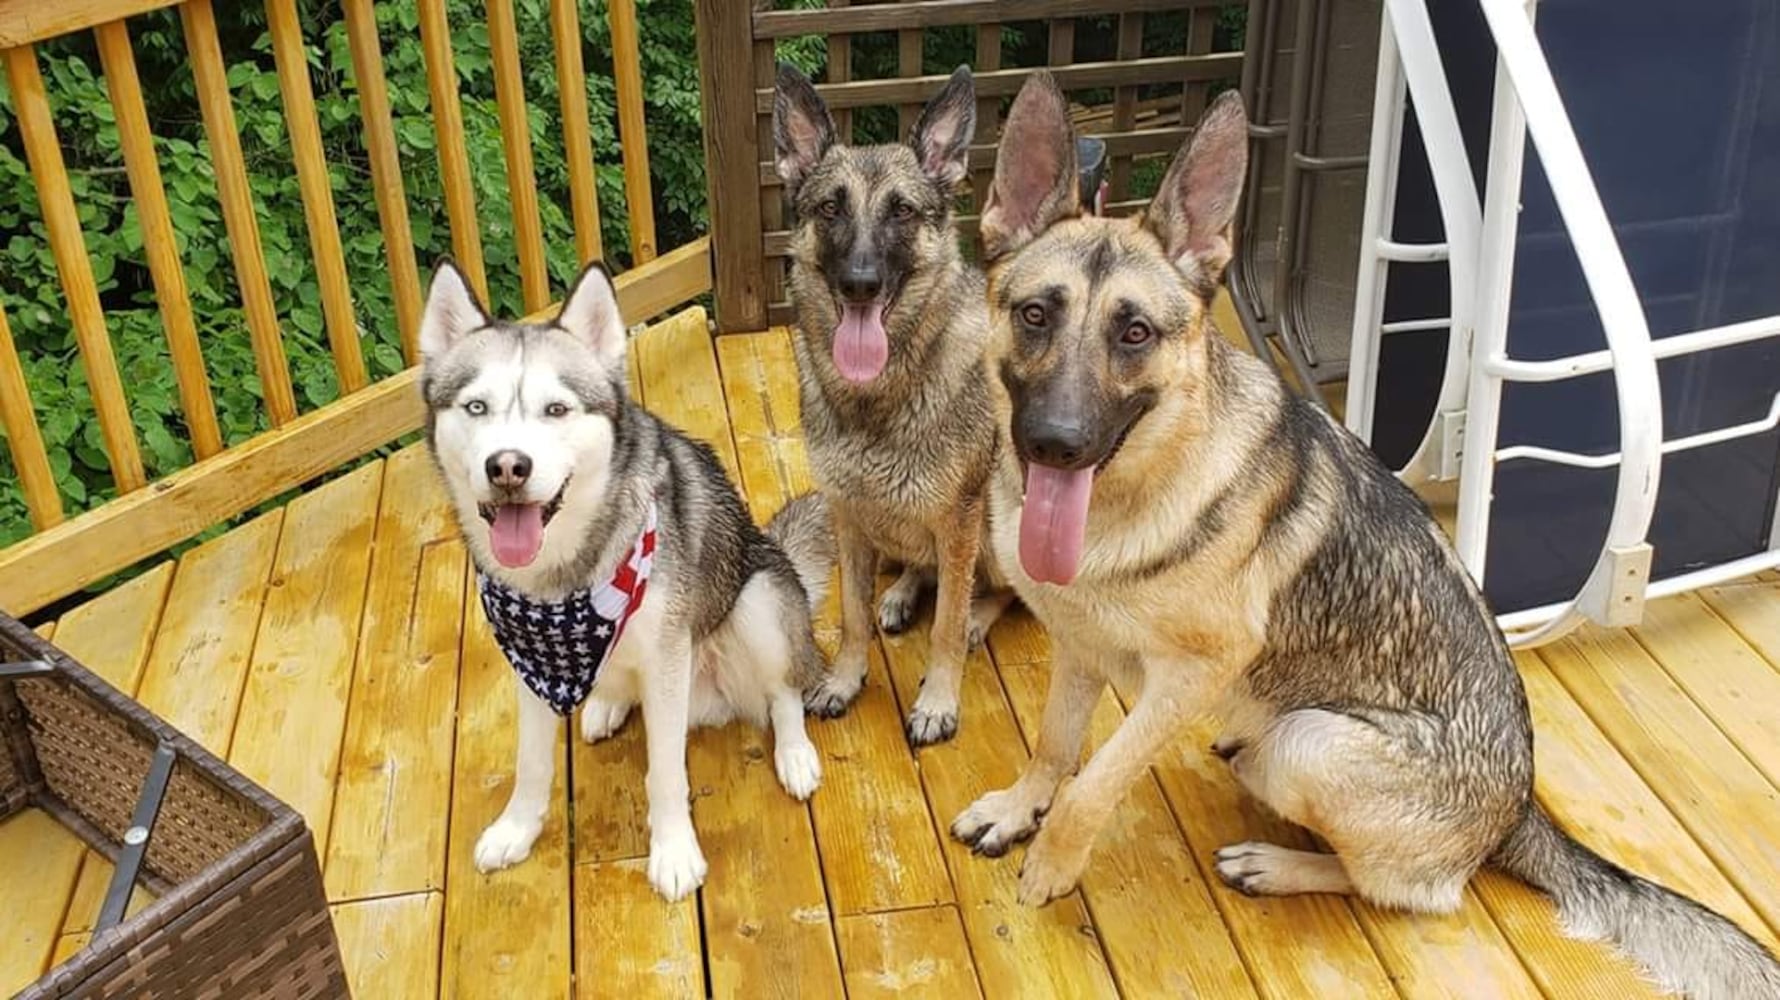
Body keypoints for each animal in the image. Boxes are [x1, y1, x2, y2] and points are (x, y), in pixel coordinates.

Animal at [779, 62, 1018, 740]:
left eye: (903, 212)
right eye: (830, 207)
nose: (860, 284)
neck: (877, 400)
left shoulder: (960, 521)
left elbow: (946, 626)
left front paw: (938, 699)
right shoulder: (849, 516)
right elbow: (853, 613)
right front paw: (845, 678)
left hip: (998, 524)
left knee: (996, 592)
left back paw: (974, 616)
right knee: (919, 565)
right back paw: (903, 592)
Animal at [954, 73, 1780, 989]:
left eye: (1134, 333)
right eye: (1035, 315)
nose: (1054, 443)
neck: (1136, 491)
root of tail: (1520, 810)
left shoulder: (1188, 679)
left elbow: (1095, 782)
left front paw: (1052, 864)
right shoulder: (1081, 648)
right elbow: (1055, 747)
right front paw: (1019, 810)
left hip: (1306, 745)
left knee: (1419, 893)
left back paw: (1280, 865)